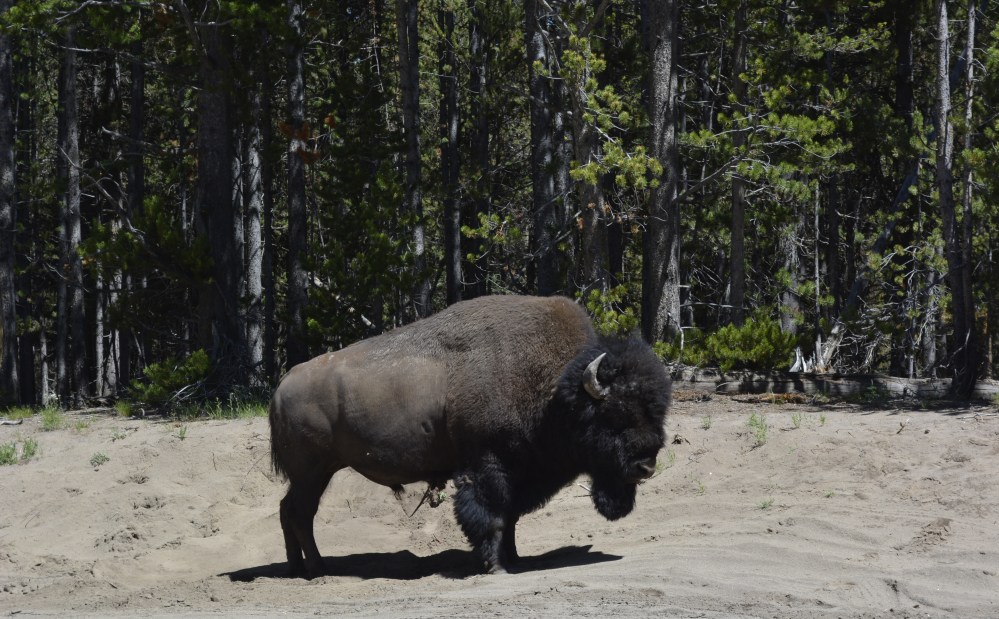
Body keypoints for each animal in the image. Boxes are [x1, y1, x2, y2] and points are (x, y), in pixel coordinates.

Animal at [269, 294, 671, 577]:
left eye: (658, 411)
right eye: (616, 415)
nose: (646, 466)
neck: (556, 392)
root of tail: (282, 385)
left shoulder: (520, 474)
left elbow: (510, 518)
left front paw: (514, 559)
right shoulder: (488, 465)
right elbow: (491, 515)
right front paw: (496, 567)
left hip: (315, 473)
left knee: (289, 510)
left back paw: (297, 568)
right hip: (312, 472)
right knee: (300, 512)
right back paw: (318, 569)